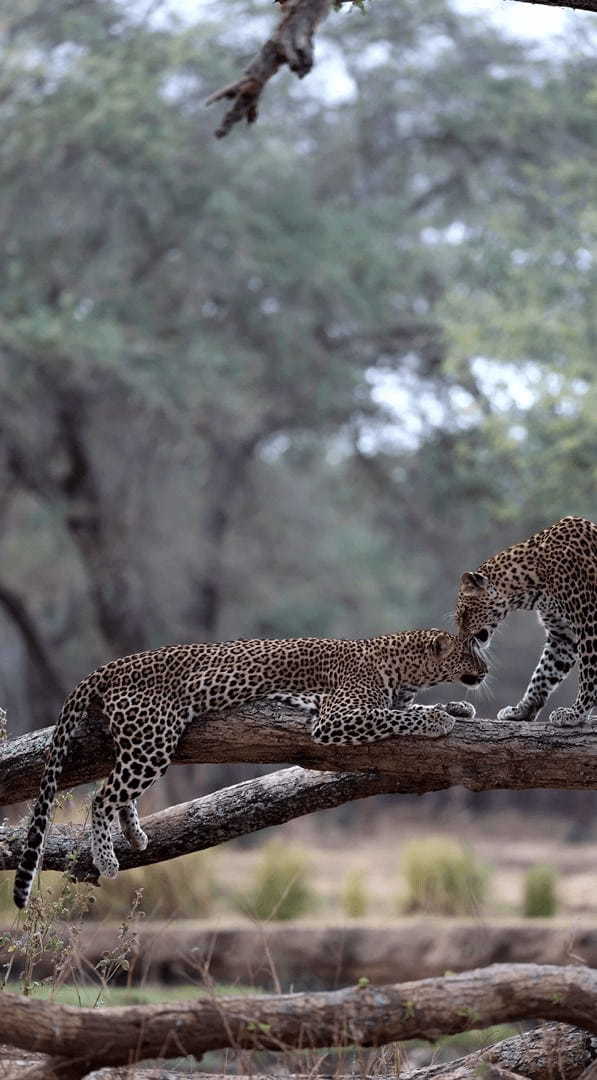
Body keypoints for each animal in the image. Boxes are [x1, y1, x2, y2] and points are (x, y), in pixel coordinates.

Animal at [13, 630, 483, 907]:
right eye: (468, 651)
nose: (487, 669)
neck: (406, 669)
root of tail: (111, 664)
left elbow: (409, 709)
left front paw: (455, 707)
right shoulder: (334, 718)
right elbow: (397, 717)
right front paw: (438, 720)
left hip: (144, 744)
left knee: (119, 791)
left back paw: (134, 833)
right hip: (154, 739)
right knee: (102, 796)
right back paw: (108, 860)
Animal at [453, 514, 591, 725]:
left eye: (464, 614)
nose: (461, 641)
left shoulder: (588, 623)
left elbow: (589, 675)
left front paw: (577, 713)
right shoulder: (562, 635)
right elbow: (544, 673)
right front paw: (522, 711)